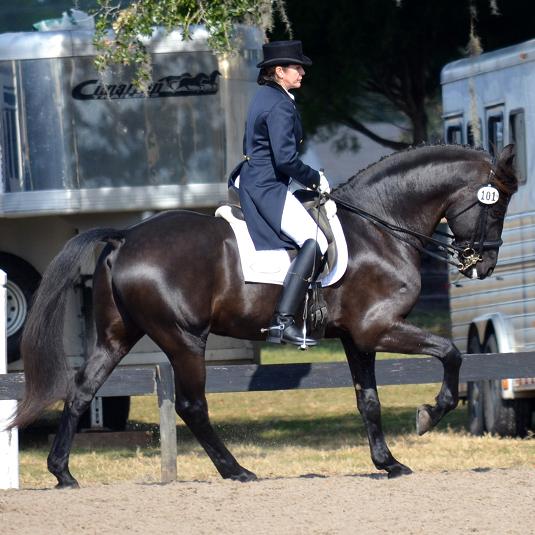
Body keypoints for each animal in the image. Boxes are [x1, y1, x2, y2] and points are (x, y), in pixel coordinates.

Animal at [12, 144, 516, 488]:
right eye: (495, 206)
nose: (484, 265)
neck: (380, 227)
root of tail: (126, 236)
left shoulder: (357, 338)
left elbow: (368, 401)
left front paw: (388, 463)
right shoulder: (379, 329)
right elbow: (450, 353)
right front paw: (429, 415)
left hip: (118, 335)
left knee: (81, 390)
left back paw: (62, 473)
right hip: (184, 338)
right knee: (192, 406)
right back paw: (236, 470)